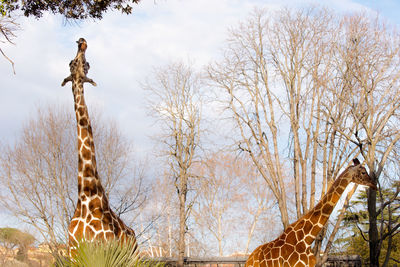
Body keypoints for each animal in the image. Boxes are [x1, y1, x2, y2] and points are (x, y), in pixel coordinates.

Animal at [61, 38, 138, 252]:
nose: (81, 42)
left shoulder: (105, 246)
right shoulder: (73, 250)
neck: (86, 197)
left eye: (87, 64)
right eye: (72, 63)